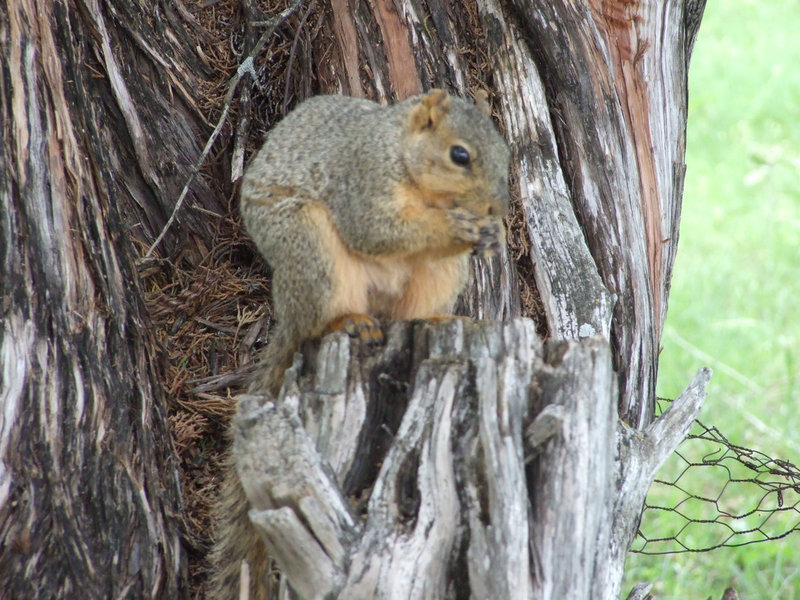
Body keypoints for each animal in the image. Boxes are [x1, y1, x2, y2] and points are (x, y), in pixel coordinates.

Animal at [208, 89, 511, 600]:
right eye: (460, 155)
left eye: (506, 153)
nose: (496, 209)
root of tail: (288, 314)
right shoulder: (361, 178)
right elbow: (377, 229)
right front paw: (458, 228)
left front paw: (494, 235)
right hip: (312, 250)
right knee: (318, 321)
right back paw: (346, 321)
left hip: (439, 275)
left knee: (410, 311)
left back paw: (438, 316)